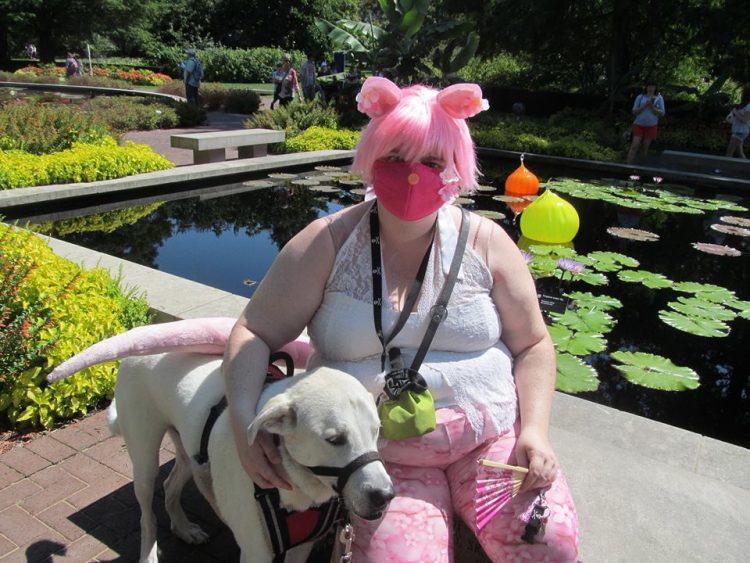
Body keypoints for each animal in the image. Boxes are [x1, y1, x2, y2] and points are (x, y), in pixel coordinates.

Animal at [47, 322, 396, 563]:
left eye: (376, 430)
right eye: (334, 439)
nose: (385, 496)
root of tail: (141, 336)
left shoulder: (301, 547)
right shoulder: (256, 551)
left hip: (190, 453)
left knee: (171, 485)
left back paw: (185, 528)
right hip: (144, 458)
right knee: (147, 513)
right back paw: (149, 553)